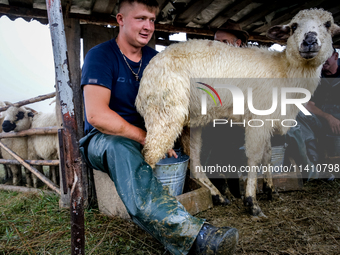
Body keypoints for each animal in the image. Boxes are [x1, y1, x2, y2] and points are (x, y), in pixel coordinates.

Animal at [135, 9, 340, 217]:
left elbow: (267, 154)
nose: (309, 41)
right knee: (149, 156)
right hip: (164, 111)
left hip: (190, 120)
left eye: (328, 24)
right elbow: (255, 156)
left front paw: (270, 190)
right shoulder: (258, 118)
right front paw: (251, 202)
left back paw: (218, 195)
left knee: (193, 160)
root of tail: (148, 70)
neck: (284, 72)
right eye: (294, 26)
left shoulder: (267, 120)